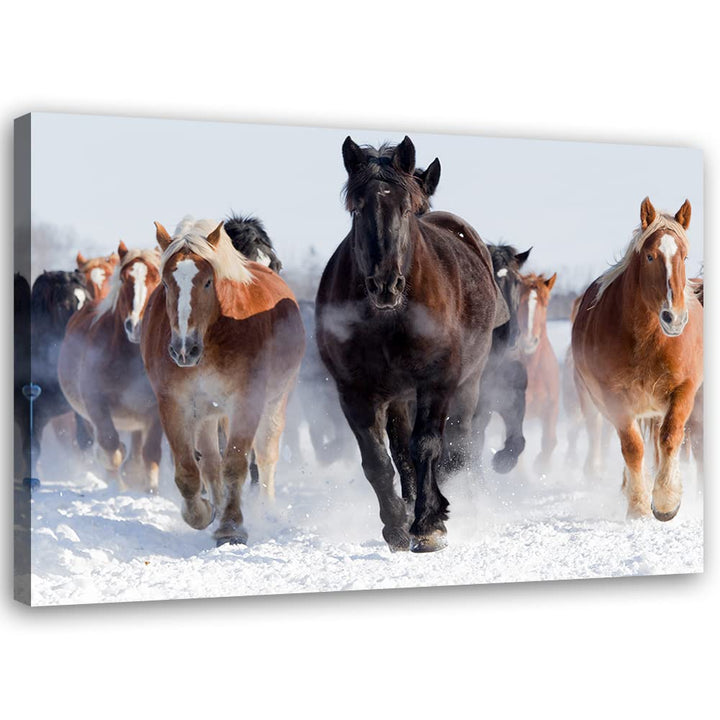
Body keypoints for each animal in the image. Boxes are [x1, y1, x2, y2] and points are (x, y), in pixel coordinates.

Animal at [58, 242, 163, 492]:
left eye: (157, 278)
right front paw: (117, 485)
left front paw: (150, 488)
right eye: (124, 279)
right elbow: (110, 446)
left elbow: (151, 451)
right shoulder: (96, 403)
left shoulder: (157, 408)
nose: (136, 325)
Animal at [141, 218, 305, 546]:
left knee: (265, 456)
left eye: (207, 281)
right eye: (165, 283)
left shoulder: (246, 402)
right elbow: (189, 470)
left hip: (274, 402)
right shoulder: (174, 404)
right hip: (207, 413)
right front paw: (203, 513)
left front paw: (231, 528)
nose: (183, 349)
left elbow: (236, 463)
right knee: (210, 462)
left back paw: (265, 509)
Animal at [316, 136, 508, 553]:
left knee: (456, 447)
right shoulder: (356, 392)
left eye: (405, 209)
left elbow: (428, 447)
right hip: (399, 397)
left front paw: (428, 524)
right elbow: (379, 460)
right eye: (357, 209)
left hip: (468, 384)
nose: (385, 284)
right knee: (403, 452)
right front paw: (396, 525)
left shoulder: (437, 382)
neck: (389, 320)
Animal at [572, 198, 703, 521]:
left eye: (684, 256)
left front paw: (666, 500)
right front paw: (639, 505)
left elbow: (670, 436)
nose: (674, 318)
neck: (647, 340)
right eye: (650, 256)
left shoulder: (685, 389)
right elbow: (632, 447)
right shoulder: (614, 397)